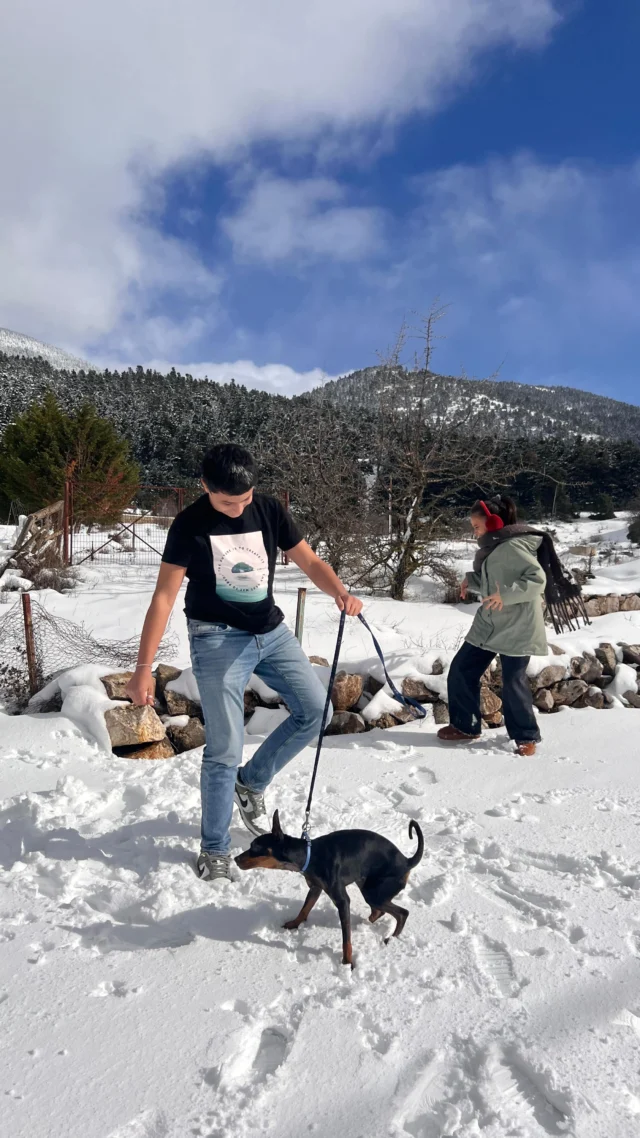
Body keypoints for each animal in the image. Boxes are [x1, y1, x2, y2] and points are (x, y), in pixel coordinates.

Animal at [234, 814, 423, 965]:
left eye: (255, 847)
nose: (235, 859)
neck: (309, 855)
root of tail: (407, 861)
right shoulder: (315, 888)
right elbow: (304, 909)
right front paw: (294, 924)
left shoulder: (342, 900)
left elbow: (346, 940)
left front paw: (347, 963)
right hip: (366, 884)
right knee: (379, 911)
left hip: (374, 892)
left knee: (402, 913)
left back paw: (391, 939)